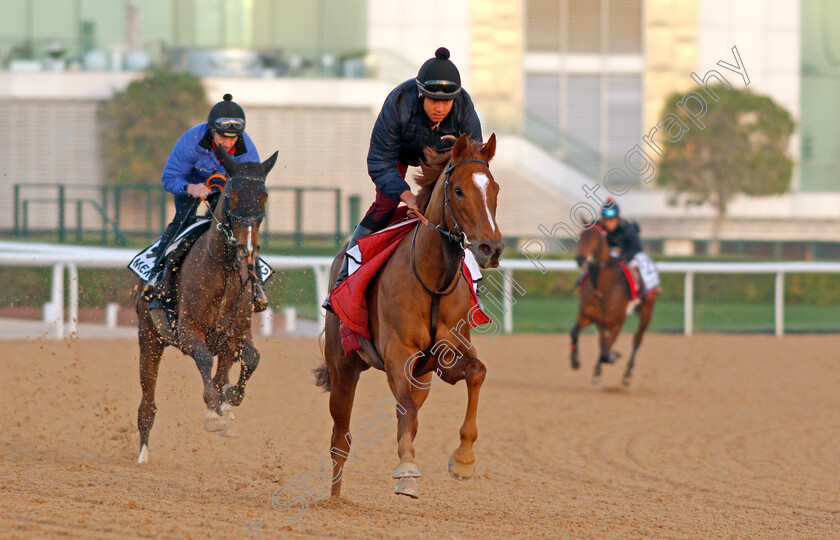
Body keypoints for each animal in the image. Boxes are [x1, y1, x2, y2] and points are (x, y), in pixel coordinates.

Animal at [135, 149, 278, 464]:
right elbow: (202, 358)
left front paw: (230, 398)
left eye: (263, 196)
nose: (247, 250)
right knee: (147, 401)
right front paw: (213, 411)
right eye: (232, 195)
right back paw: (143, 452)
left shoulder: (238, 333)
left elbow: (253, 358)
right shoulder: (188, 330)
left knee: (225, 365)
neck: (223, 268)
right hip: (149, 337)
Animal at [314, 134, 498, 498]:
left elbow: (476, 372)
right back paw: (334, 499)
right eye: (459, 190)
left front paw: (463, 459)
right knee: (340, 437)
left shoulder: (443, 358)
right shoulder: (398, 353)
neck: (433, 280)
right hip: (343, 367)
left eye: (495, 188)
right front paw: (408, 469)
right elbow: (406, 411)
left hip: (421, 378)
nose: (492, 248)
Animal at [572, 221, 656, 386]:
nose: (580, 259)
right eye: (581, 235)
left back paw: (628, 373)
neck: (602, 288)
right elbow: (576, 333)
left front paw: (613, 356)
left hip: (647, 310)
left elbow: (606, 352)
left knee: (637, 339)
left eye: (595, 238)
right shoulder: (590, 316)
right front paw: (575, 361)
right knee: (603, 342)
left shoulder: (617, 322)